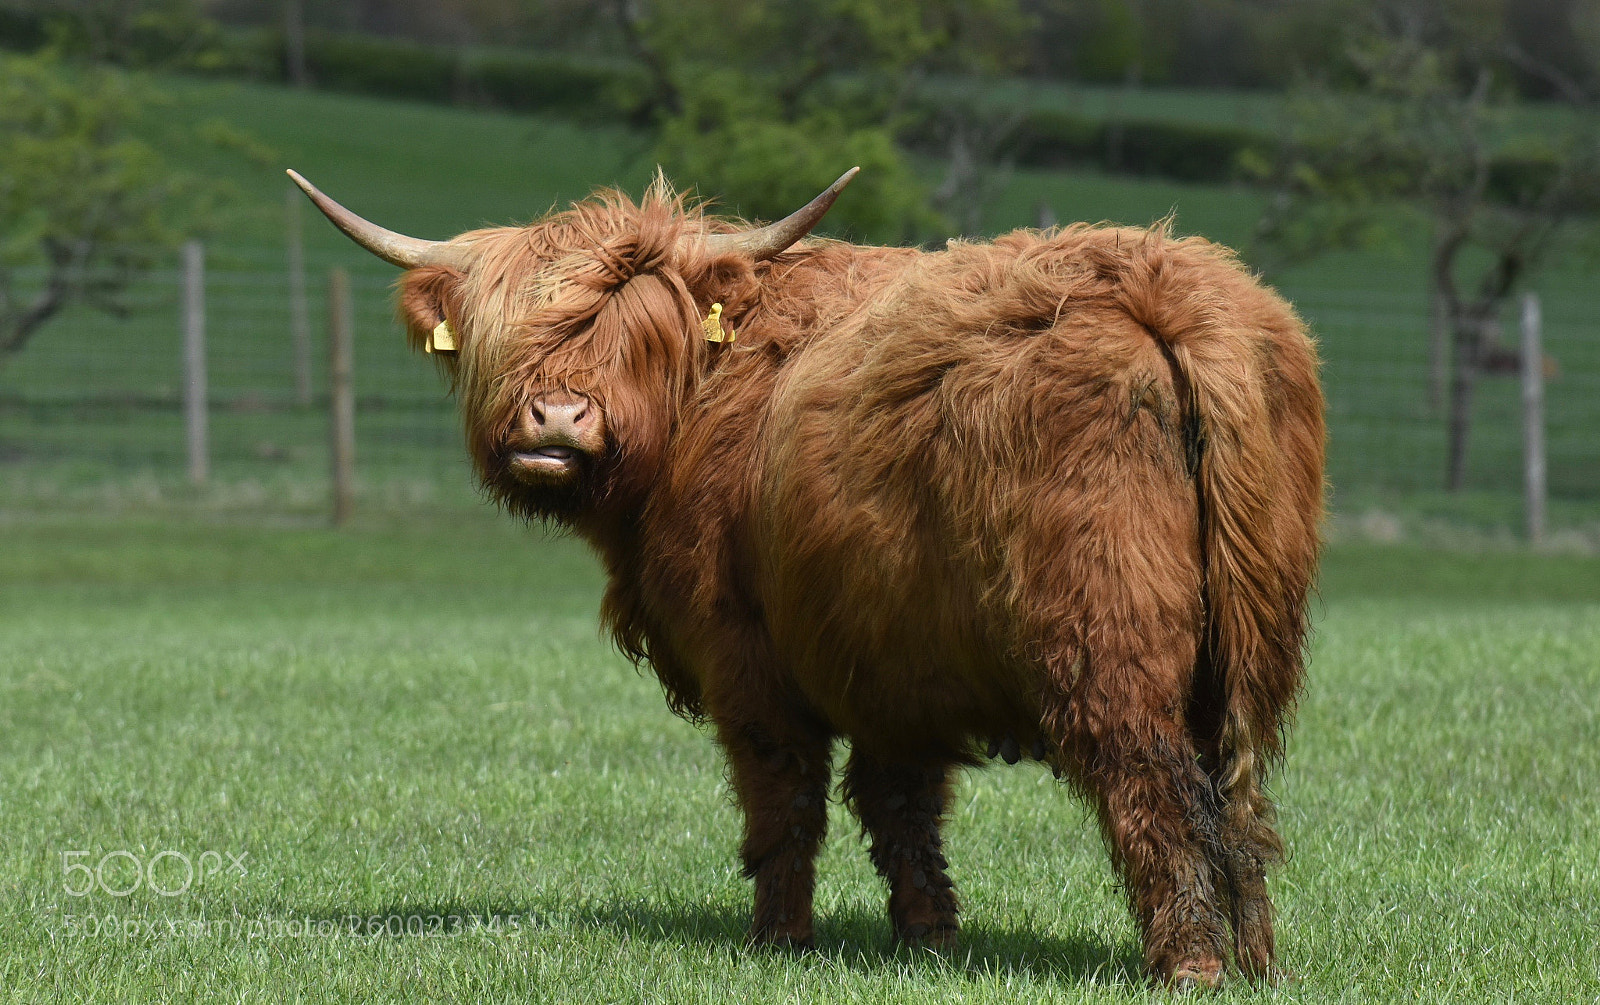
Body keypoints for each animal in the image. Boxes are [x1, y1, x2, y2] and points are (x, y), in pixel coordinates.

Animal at [289, 166, 1323, 988]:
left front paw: (778, 938)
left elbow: (782, 795)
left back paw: (1190, 964)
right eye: (504, 331)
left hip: (1106, 637)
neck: (706, 392)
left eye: (639, 329)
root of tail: (1162, 290)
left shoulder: (744, 650)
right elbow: (902, 804)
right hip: (1249, 643)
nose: (556, 418)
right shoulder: (892, 652)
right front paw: (929, 937)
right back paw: (1256, 956)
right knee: (1237, 792)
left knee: (1153, 782)